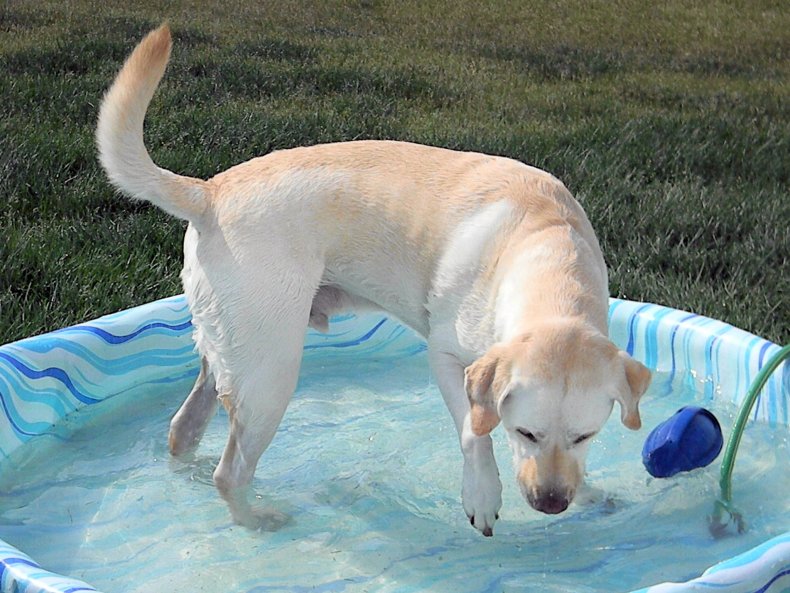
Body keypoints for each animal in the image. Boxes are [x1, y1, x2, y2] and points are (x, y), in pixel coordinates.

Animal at [97, 24, 648, 536]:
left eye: (585, 436)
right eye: (525, 432)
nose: (551, 503)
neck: (546, 249)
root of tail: (209, 192)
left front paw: (589, 493)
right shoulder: (448, 358)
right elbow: (474, 432)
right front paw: (483, 495)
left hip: (229, 355)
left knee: (183, 427)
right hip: (270, 373)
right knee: (229, 472)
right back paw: (257, 521)